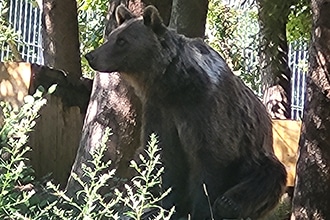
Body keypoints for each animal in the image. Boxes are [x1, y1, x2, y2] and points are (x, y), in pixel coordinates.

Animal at [85, 5, 286, 220]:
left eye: (122, 41)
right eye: (111, 36)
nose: (91, 56)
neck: (174, 86)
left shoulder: (205, 111)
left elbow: (210, 159)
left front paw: (203, 210)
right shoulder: (159, 110)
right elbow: (163, 156)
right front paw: (167, 207)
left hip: (256, 156)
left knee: (269, 175)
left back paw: (229, 203)